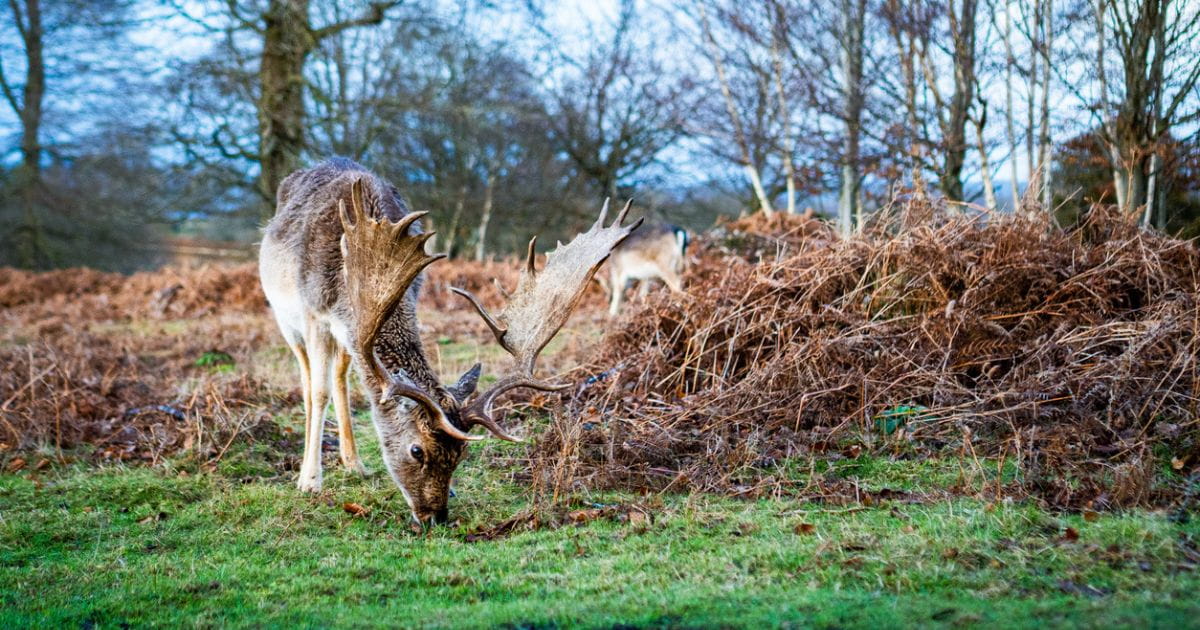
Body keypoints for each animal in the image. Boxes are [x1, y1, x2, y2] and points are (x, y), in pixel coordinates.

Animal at [258, 158, 640, 525]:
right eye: (417, 450)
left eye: (461, 454)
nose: (435, 516)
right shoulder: (313, 313)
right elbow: (317, 392)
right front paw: (310, 481)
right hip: (285, 319)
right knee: (310, 378)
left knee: (341, 377)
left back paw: (354, 462)